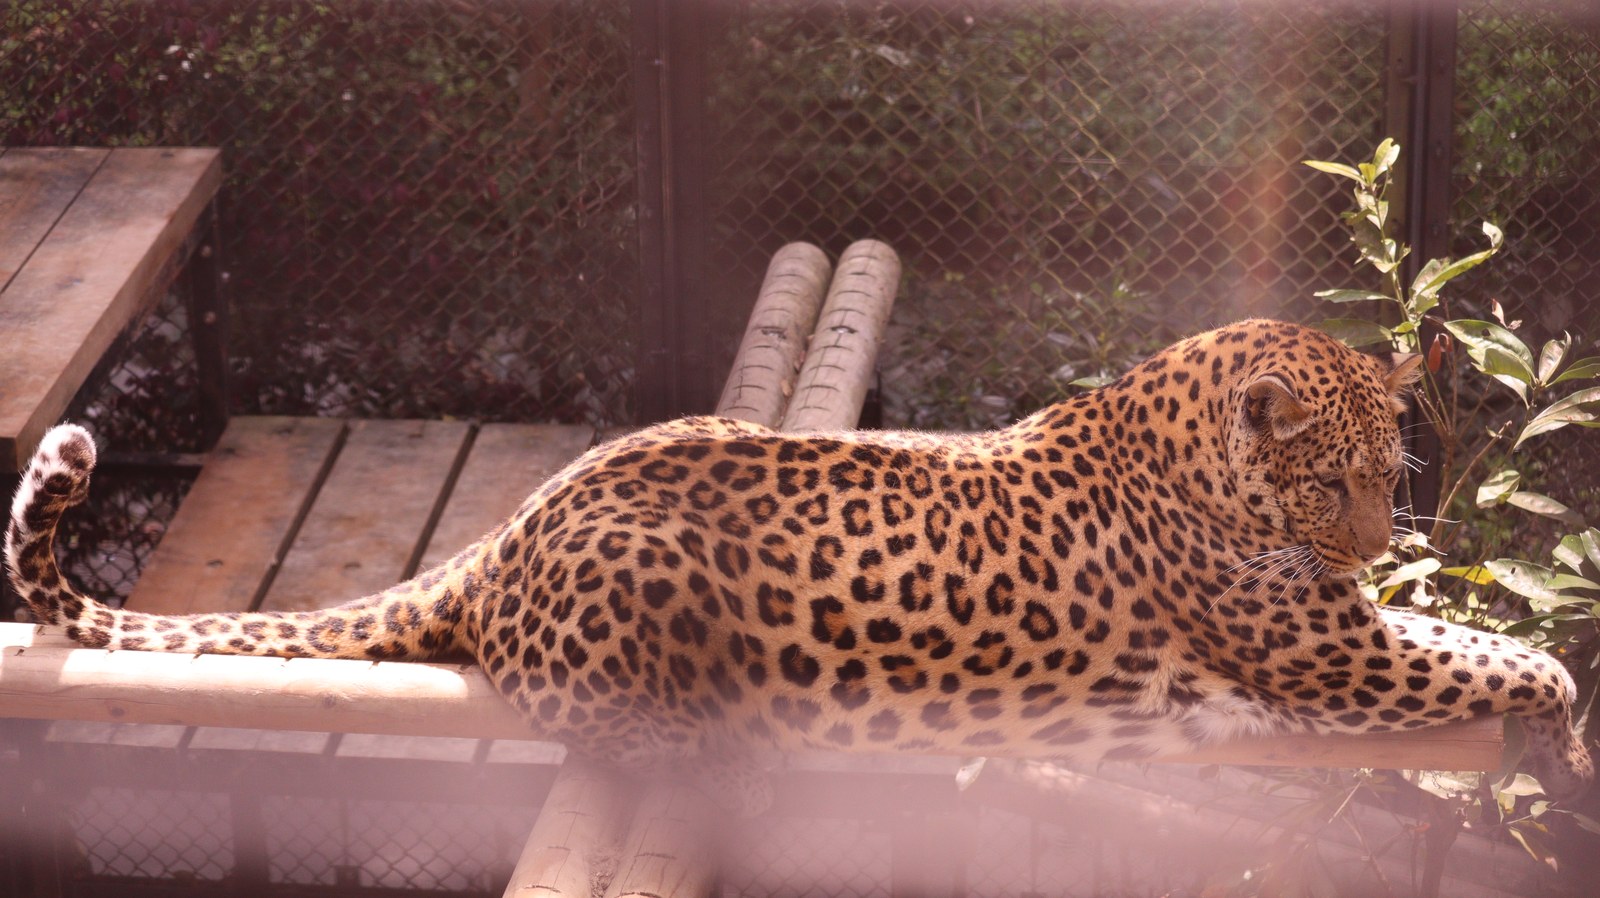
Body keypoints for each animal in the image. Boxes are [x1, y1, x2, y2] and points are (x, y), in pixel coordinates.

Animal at [7, 319, 1592, 815]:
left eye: (1388, 477)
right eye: (1324, 479)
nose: (1372, 539)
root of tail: (513, 526)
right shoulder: (1330, 645)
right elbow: (1502, 654)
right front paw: (1565, 708)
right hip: (647, 591)